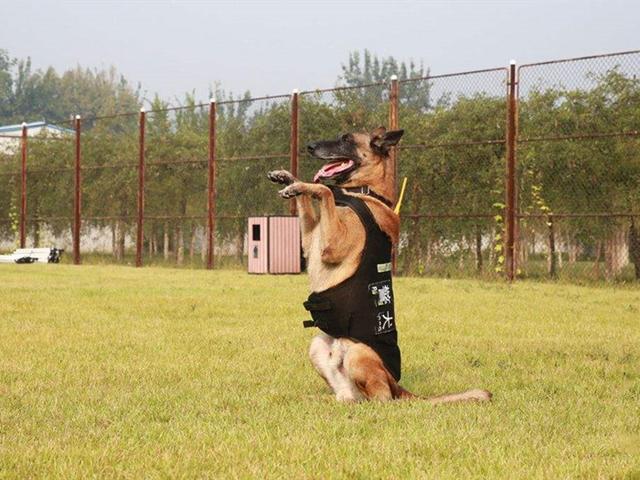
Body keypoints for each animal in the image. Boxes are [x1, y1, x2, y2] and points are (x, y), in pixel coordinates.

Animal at [268, 125, 492, 404]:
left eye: (346, 139)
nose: (309, 146)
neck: (365, 193)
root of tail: (398, 384)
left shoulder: (331, 247)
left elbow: (326, 191)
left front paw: (302, 184)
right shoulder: (311, 244)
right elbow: (310, 200)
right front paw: (289, 179)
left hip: (359, 354)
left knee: (382, 398)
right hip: (317, 345)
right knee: (349, 395)